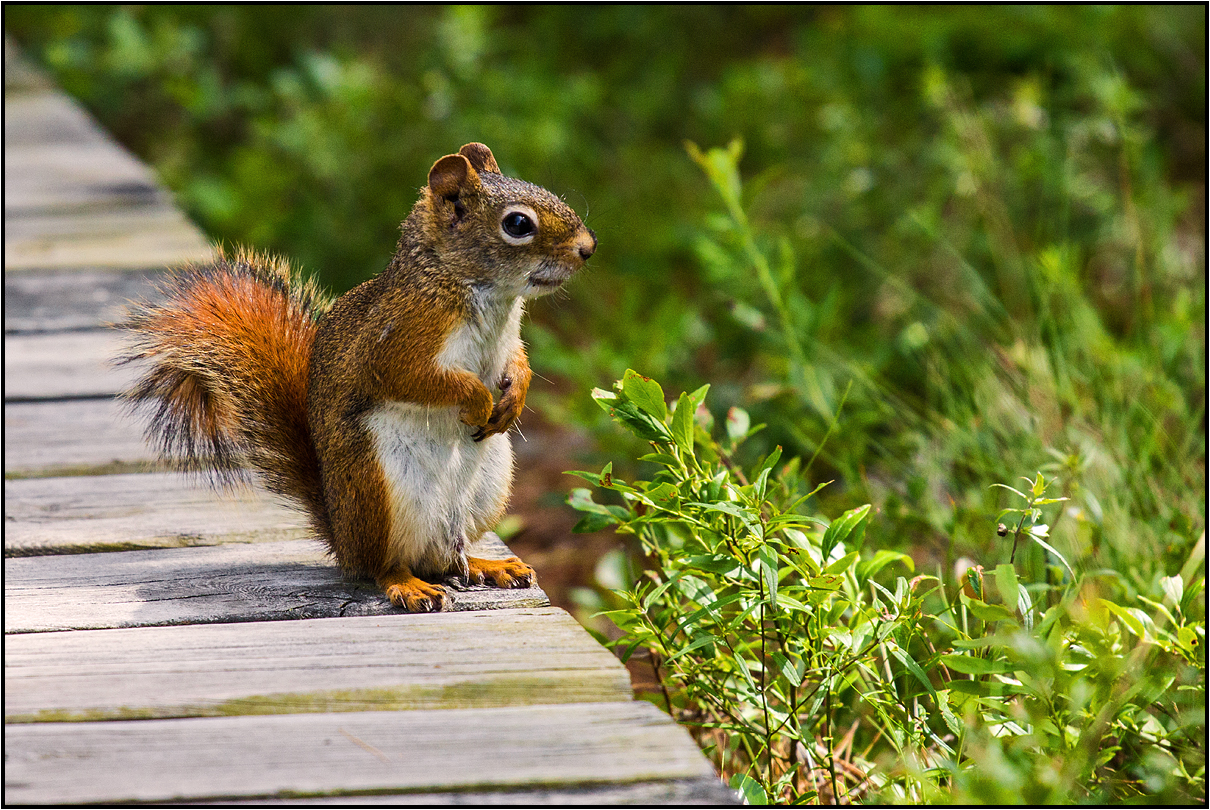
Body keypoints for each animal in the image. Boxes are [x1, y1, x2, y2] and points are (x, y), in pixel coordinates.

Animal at [117, 145, 595, 610]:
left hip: (489, 488)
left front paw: (515, 395)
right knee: (384, 564)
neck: (470, 287)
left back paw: (488, 564)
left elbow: (517, 362)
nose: (588, 248)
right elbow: (417, 380)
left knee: (445, 558)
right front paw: (477, 398)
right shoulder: (397, 341)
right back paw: (408, 584)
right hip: (376, 490)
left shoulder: (506, 338)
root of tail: (342, 540)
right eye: (518, 224)